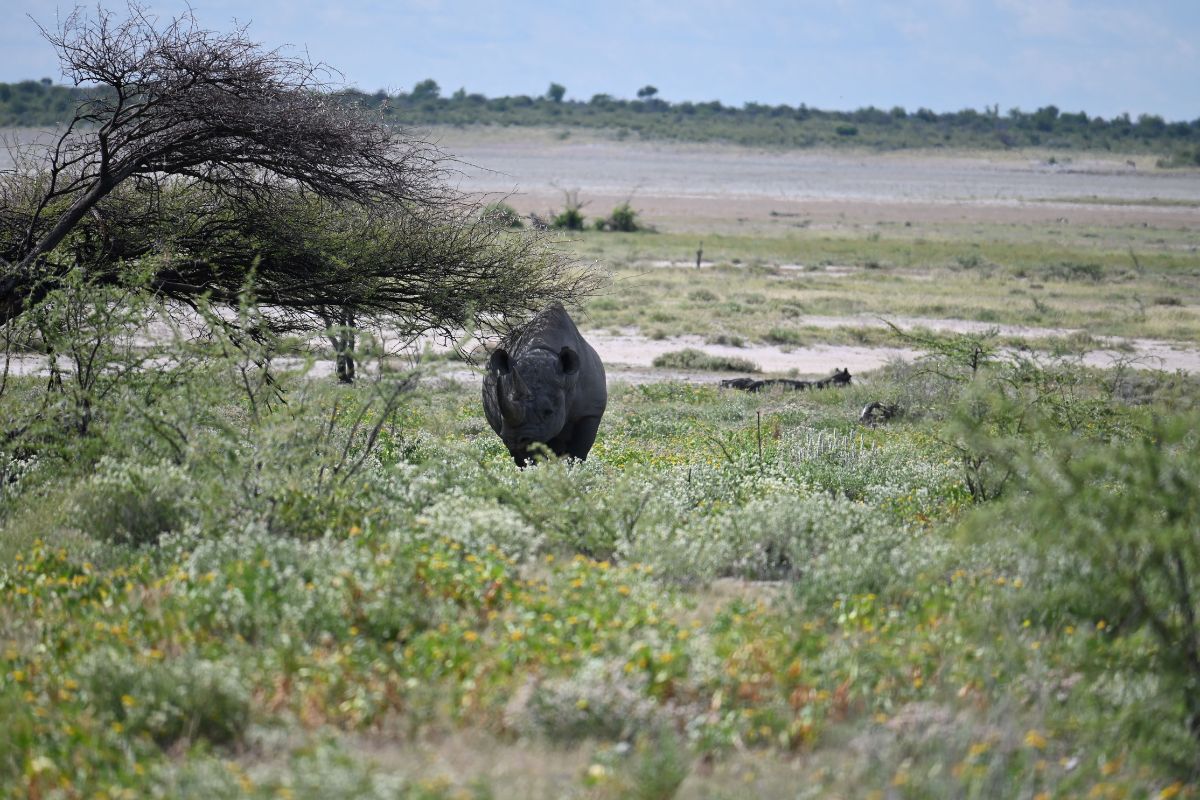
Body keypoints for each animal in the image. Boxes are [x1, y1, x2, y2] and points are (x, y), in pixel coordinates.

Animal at [482, 307, 604, 470]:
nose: (515, 438)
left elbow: (577, 453)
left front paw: (574, 472)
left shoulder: (590, 413)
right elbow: (530, 458)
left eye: (548, 412)